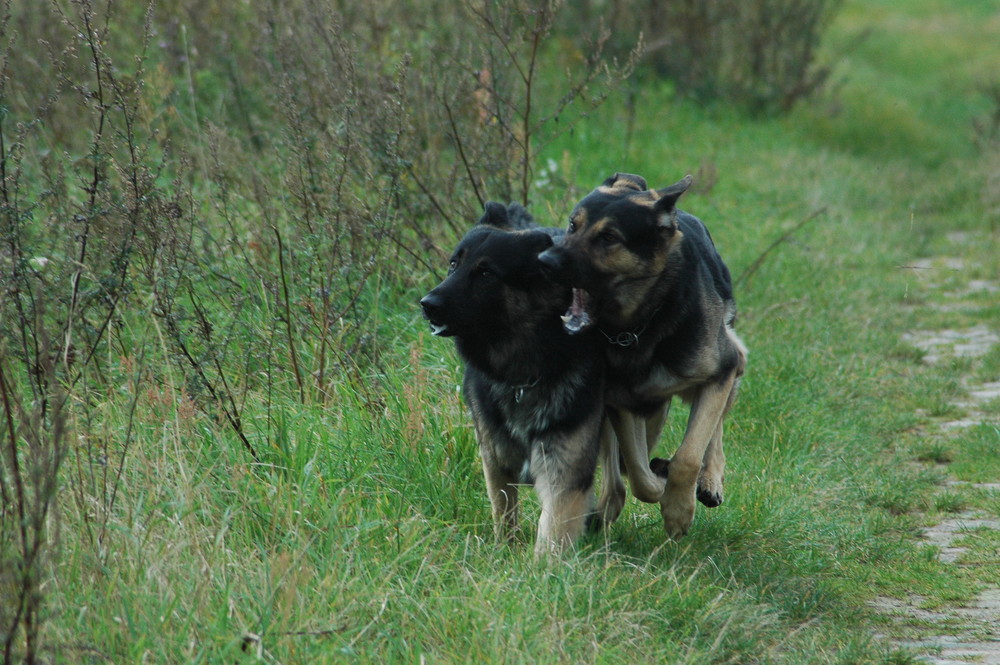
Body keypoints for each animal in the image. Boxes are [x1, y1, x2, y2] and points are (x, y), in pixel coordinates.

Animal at [420, 202, 604, 556]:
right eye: (453, 264)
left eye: (486, 273)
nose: (427, 305)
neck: (524, 373)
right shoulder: (495, 460)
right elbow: (504, 512)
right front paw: (505, 550)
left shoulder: (564, 472)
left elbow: (551, 532)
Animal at [540, 174, 744, 536]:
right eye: (572, 225)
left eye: (609, 237)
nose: (544, 261)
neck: (641, 323)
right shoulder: (623, 402)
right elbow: (638, 475)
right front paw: (662, 486)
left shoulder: (720, 371)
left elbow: (689, 455)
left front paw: (678, 510)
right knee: (618, 474)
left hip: (729, 365)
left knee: (714, 428)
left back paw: (710, 480)